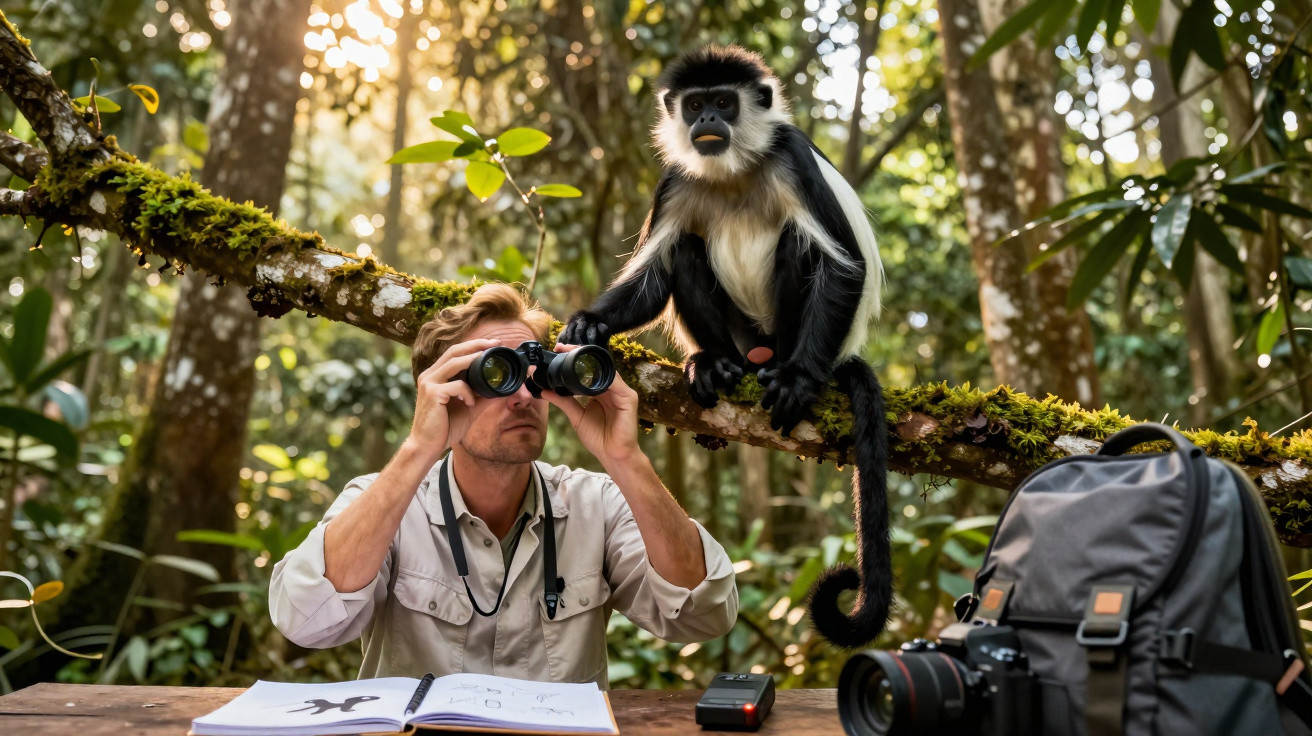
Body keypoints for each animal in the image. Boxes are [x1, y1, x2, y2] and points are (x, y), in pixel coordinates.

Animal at [557, 45, 890, 649]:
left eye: (723, 102)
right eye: (695, 105)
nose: (707, 120)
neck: (734, 171)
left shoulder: (792, 160)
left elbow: (842, 265)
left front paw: (800, 381)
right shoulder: (674, 180)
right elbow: (654, 276)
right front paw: (591, 325)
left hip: (784, 331)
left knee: (799, 244)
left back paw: (785, 369)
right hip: (735, 332)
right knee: (686, 250)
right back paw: (715, 365)